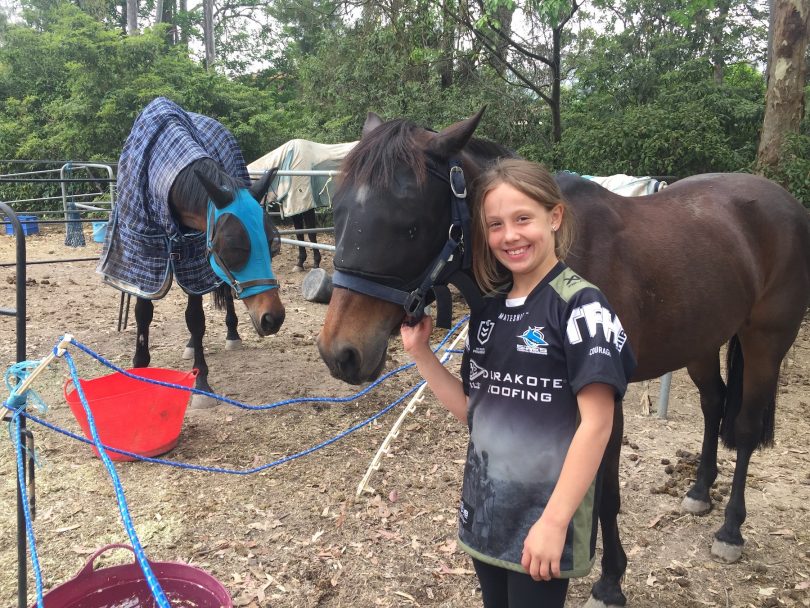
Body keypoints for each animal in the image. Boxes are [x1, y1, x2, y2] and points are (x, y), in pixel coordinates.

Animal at [100, 97, 286, 406]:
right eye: (232, 247)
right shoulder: (146, 256)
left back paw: (231, 335)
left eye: (273, 244)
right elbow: (143, 313)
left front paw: (201, 383)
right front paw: (140, 368)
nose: (273, 318)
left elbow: (195, 318)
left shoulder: (196, 255)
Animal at [318, 110, 808, 608]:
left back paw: (730, 530)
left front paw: (610, 582)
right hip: (703, 342)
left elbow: (606, 495)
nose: (341, 353)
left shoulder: (605, 405)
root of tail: (783, 202)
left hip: (765, 341)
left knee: (744, 428)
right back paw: (700, 490)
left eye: (410, 226)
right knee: (714, 404)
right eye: (339, 213)